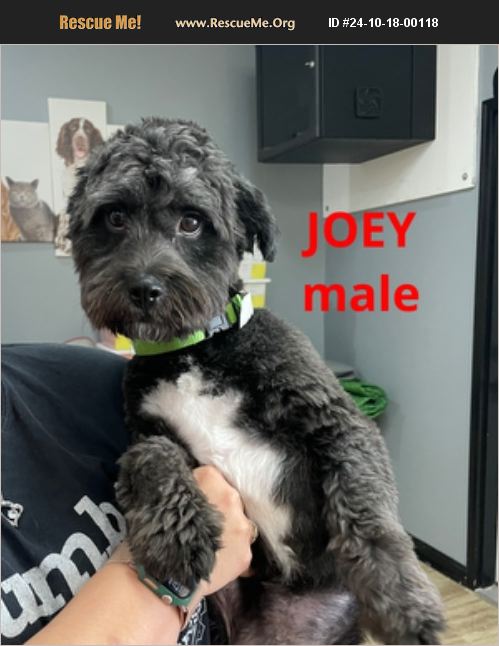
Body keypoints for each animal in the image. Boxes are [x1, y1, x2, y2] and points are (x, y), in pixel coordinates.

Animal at [68, 118, 445, 645]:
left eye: (191, 221)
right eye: (115, 217)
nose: (143, 288)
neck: (190, 350)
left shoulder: (336, 422)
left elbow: (367, 510)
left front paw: (403, 601)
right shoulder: (145, 428)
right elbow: (149, 456)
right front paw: (178, 535)